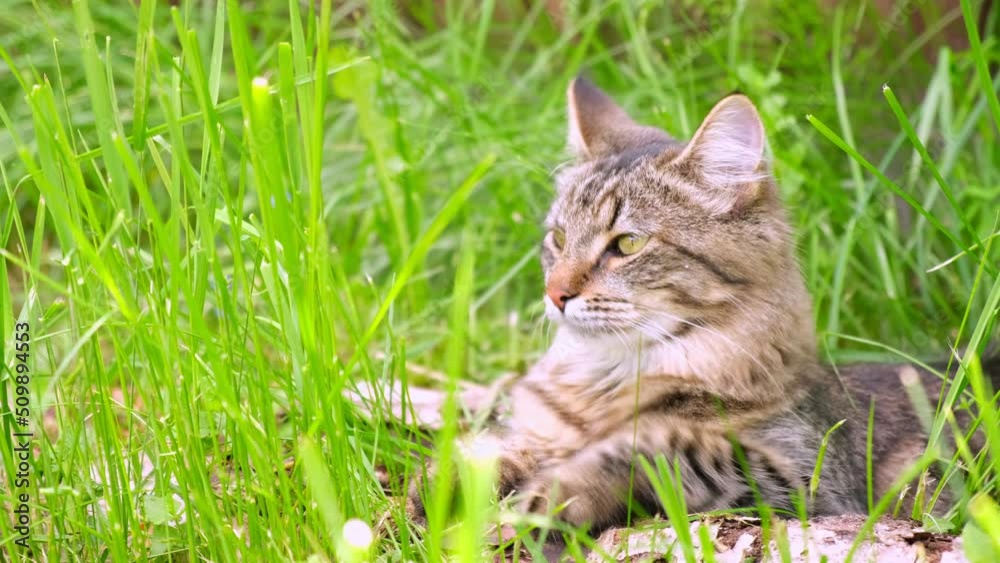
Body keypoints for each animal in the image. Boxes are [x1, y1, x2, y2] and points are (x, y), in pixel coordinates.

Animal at [409, 77, 999, 535]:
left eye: (627, 244)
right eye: (557, 238)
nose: (555, 294)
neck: (605, 379)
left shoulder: (802, 479)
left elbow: (651, 446)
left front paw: (544, 497)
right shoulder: (538, 432)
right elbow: (492, 451)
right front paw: (434, 490)